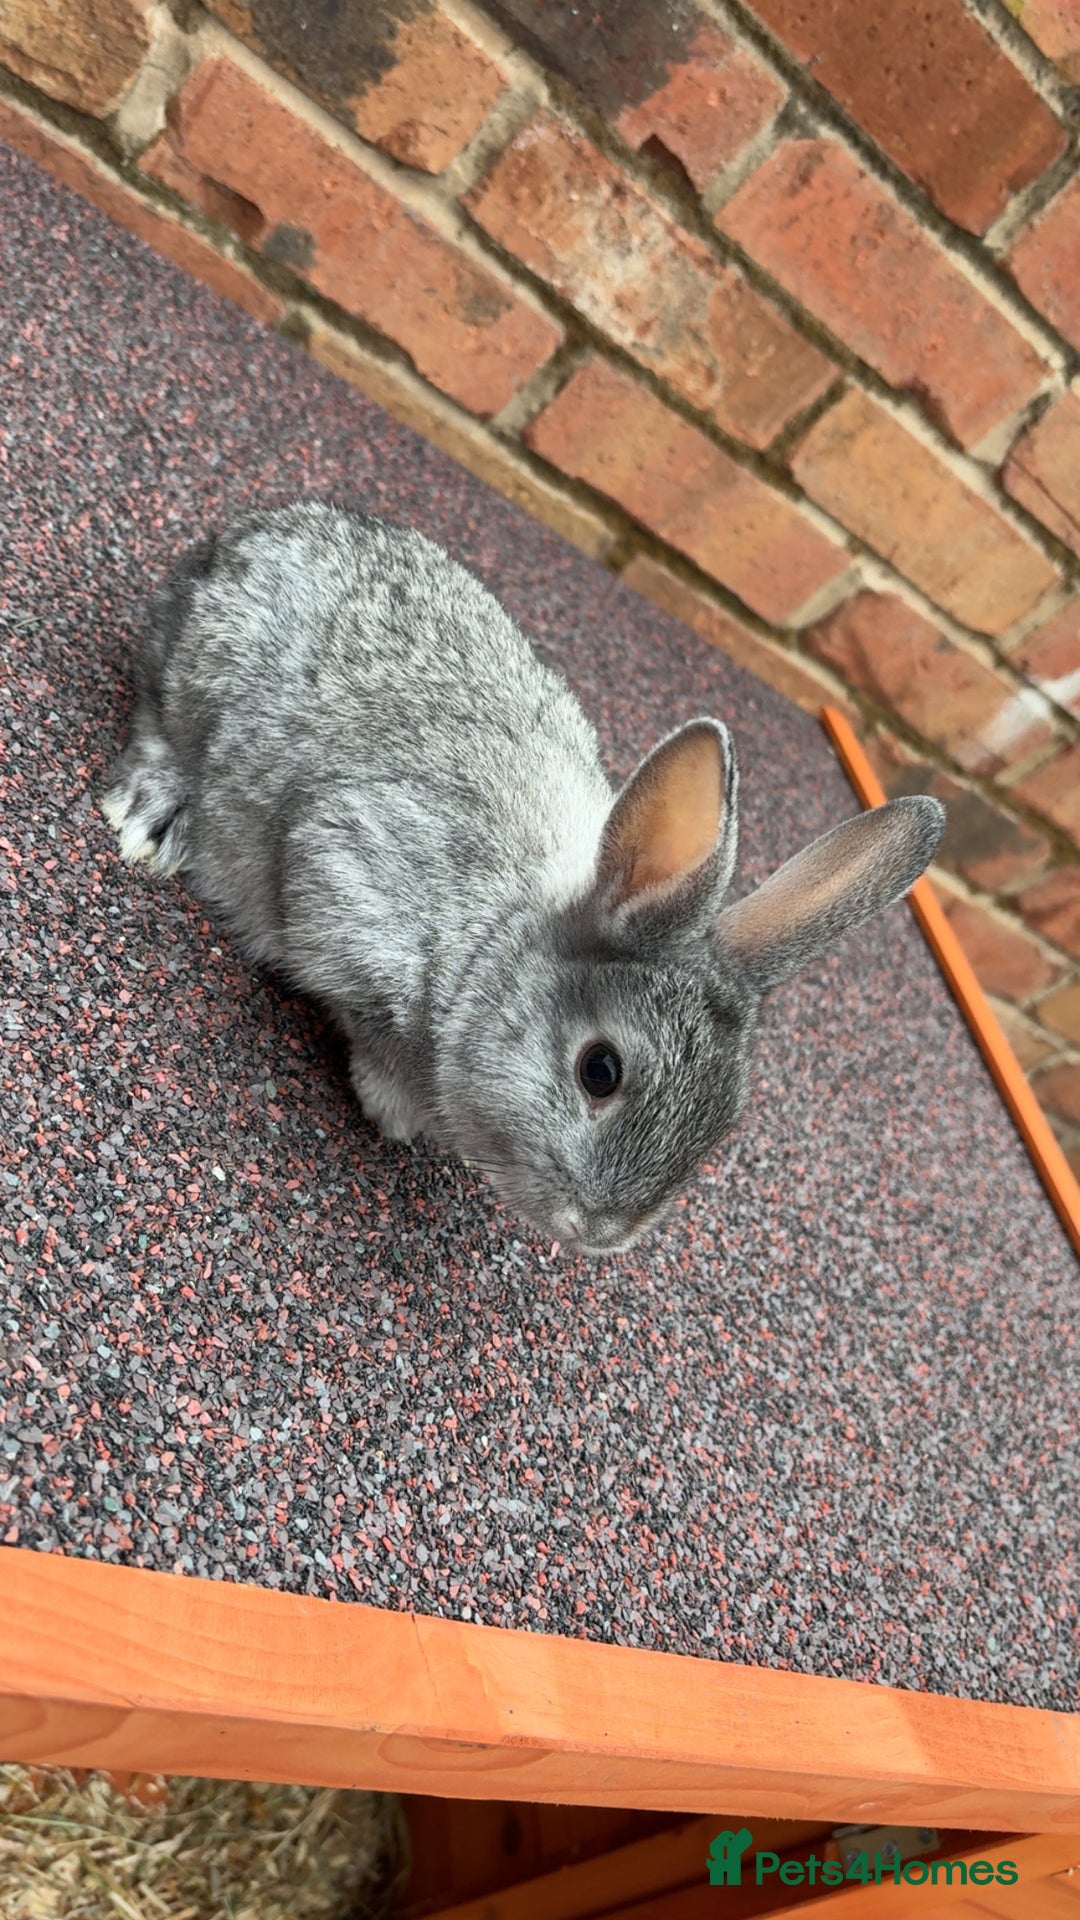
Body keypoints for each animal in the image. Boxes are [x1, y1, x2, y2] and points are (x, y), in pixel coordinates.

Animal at [102, 501, 944, 1256]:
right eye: (599, 1071)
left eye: (724, 1126)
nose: (597, 1233)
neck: (499, 938)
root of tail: (240, 536)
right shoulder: (342, 880)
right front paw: (393, 1108)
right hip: (200, 671)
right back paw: (151, 816)